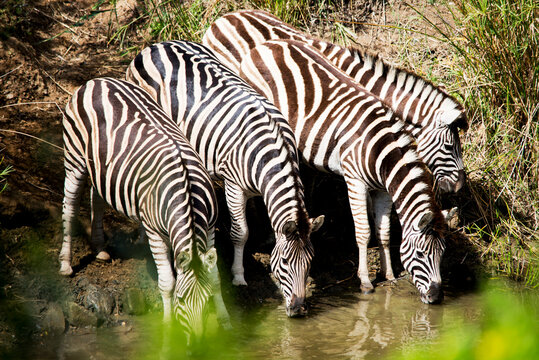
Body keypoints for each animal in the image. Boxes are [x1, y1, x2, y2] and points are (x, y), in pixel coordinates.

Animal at [60, 77, 230, 338]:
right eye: (182, 301)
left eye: (206, 301)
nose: (197, 343)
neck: (189, 196)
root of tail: (98, 80)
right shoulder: (154, 232)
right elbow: (167, 282)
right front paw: (168, 326)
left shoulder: (210, 227)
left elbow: (216, 276)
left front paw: (224, 319)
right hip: (74, 158)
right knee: (69, 206)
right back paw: (65, 264)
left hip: (102, 168)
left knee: (97, 197)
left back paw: (100, 248)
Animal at [125, 40, 324, 318]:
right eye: (284, 262)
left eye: (311, 261)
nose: (298, 310)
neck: (272, 151)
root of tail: (157, 44)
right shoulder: (233, 185)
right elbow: (241, 232)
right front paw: (239, 276)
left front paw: (266, 234)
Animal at [236, 38, 448, 304]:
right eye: (421, 254)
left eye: (443, 253)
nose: (435, 297)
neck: (381, 152)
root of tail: (267, 44)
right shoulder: (355, 180)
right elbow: (364, 231)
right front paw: (365, 281)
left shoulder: (383, 190)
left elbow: (384, 232)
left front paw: (388, 275)